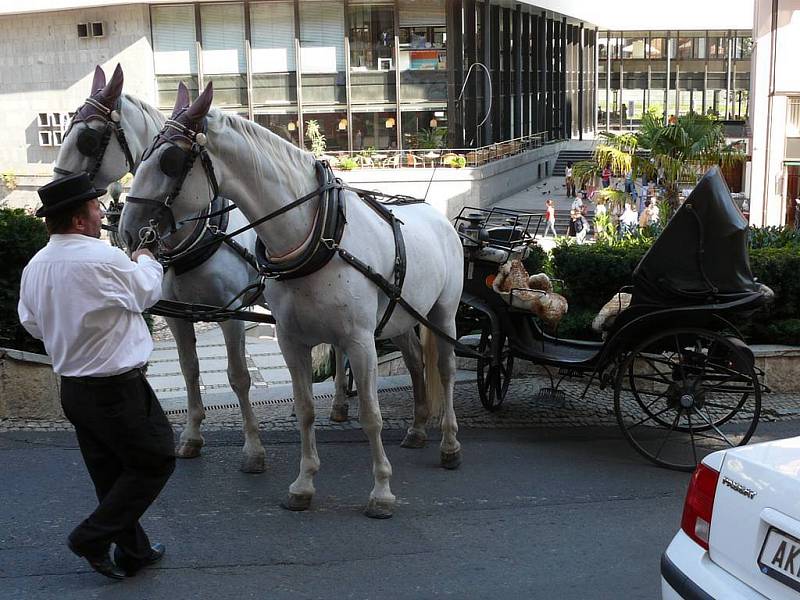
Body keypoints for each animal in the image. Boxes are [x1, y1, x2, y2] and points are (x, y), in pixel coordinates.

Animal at [124, 82, 462, 516]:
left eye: (169, 161)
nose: (128, 229)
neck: (320, 234)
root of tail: (437, 214)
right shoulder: (291, 340)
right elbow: (304, 411)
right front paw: (303, 484)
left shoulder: (360, 340)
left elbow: (371, 415)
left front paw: (382, 490)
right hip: (400, 317)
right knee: (416, 361)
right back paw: (418, 429)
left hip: (444, 312)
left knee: (446, 369)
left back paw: (449, 443)